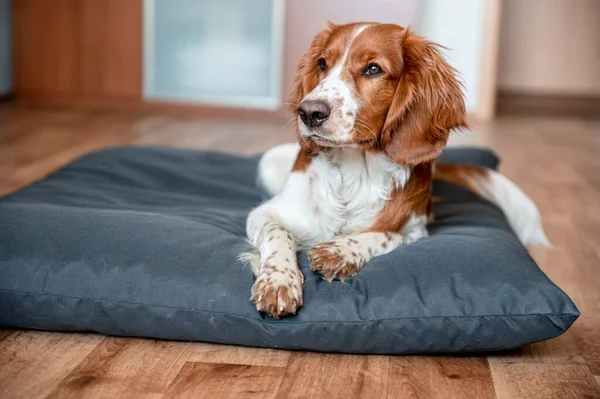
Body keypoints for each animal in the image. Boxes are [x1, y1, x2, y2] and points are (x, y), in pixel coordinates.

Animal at [240, 23, 548, 320]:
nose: (308, 112)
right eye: (322, 63)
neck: (357, 169)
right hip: (269, 161)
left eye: (373, 69)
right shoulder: (265, 214)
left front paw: (341, 251)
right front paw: (278, 281)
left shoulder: (416, 229)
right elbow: (277, 234)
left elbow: (385, 235)